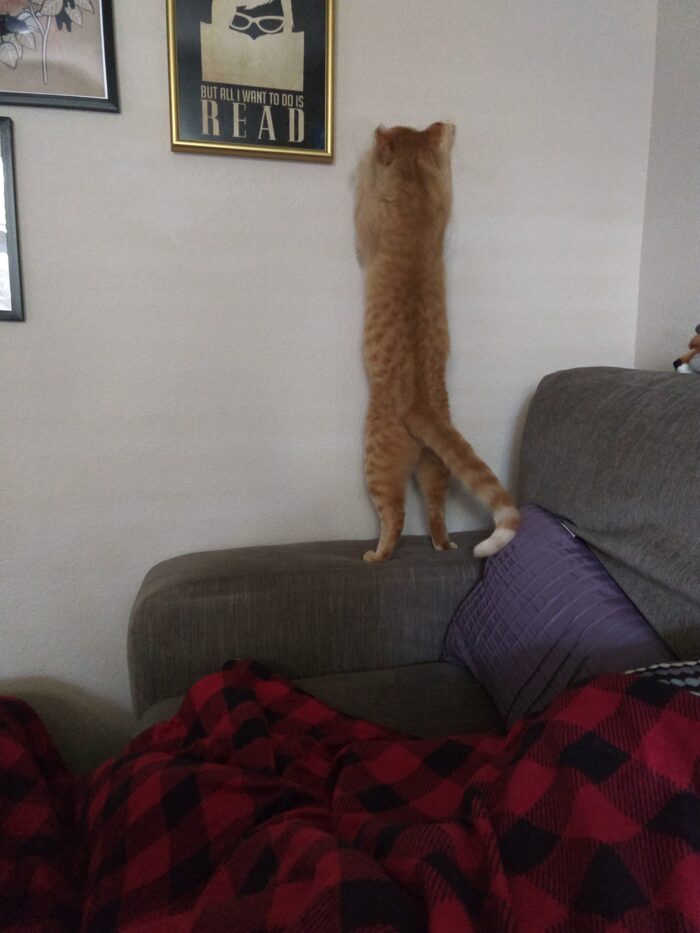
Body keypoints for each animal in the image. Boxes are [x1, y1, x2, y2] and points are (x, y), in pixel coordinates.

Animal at [356, 121, 520, 564]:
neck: (412, 193)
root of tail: (422, 406)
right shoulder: (443, 195)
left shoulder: (365, 231)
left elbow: (361, 205)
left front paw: (363, 166)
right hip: (436, 467)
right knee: (435, 509)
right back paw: (443, 545)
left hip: (376, 462)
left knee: (395, 515)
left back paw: (377, 555)